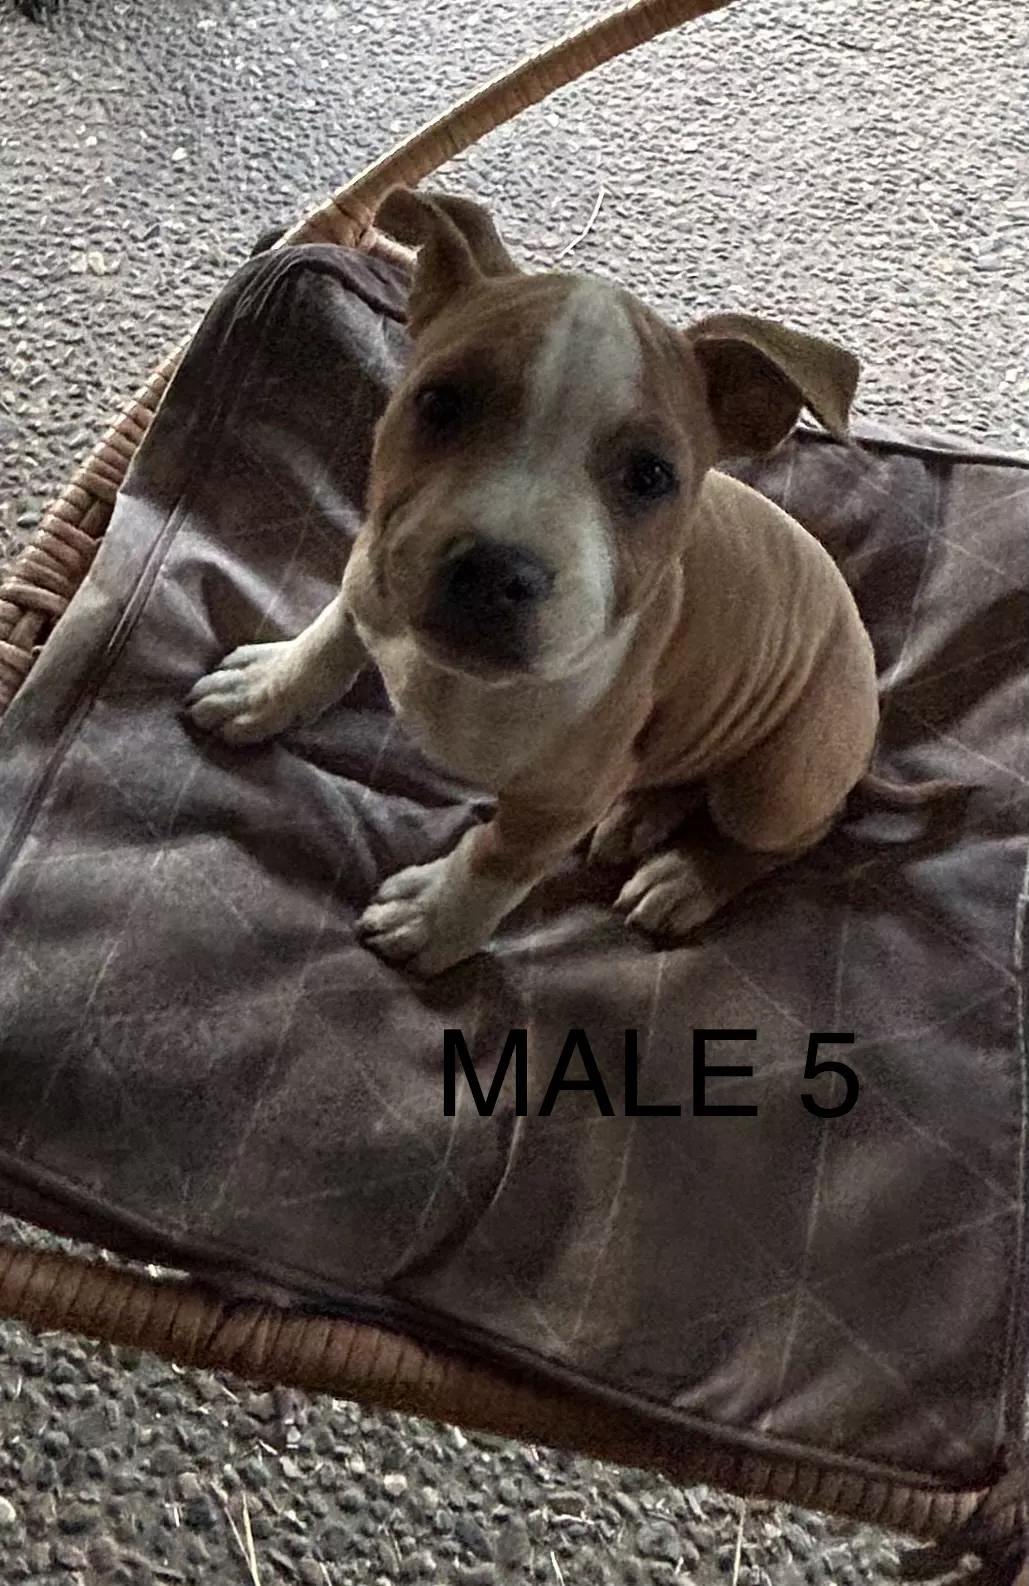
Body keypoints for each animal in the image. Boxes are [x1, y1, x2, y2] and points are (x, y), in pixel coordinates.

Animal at [187, 186, 957, 976]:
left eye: (649, 475)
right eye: (439, 403)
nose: (494, 571)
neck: (465, 682)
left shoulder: (557, 800)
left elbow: (495, 858)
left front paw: (434, 919)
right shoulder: (373, 573)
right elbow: (330, 638)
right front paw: (266, 690)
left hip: (780, 780)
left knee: (795, 831)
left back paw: (686, 877)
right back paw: (641, 815)